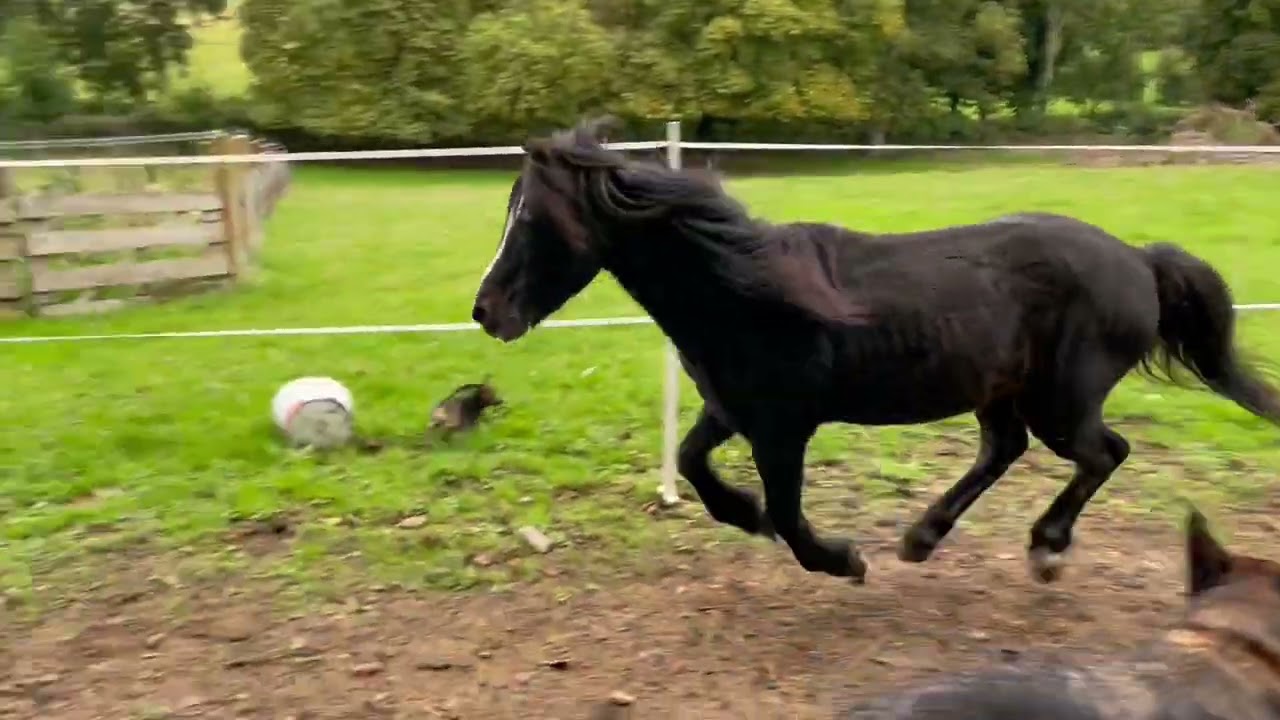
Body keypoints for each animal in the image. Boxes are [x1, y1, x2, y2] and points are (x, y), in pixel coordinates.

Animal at [470, 116, 1280, 584]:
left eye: (533, 220)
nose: (485, 312)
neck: (738, 290)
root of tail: (1139, 261)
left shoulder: (782, 428)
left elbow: (789, 512)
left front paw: (842, 560)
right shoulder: (730, 409)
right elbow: (694, 465)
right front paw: (746, 517)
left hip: (1061, 398)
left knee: (1102, 452)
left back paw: (1045, 547)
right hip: (1000, 391)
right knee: (1006, 450)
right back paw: (923, 538)